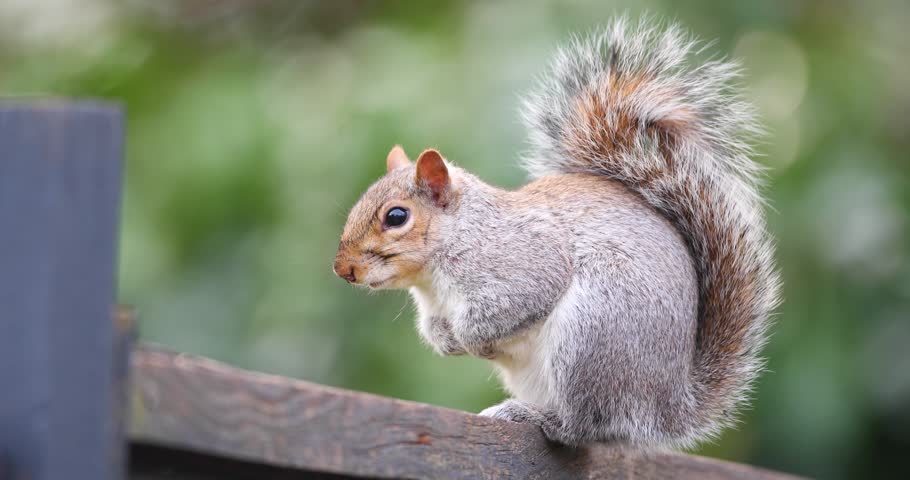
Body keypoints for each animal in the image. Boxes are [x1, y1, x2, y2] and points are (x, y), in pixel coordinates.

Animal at [333, 18, 780, 449]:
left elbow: (519, 300)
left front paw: (468, 336)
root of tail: (666, 406)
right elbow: (433, 327)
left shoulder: (522, 261)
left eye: (396, 217)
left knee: (584, 427)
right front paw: (445, 339)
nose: (343, 270)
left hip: (594, 331)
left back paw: (535, 417)